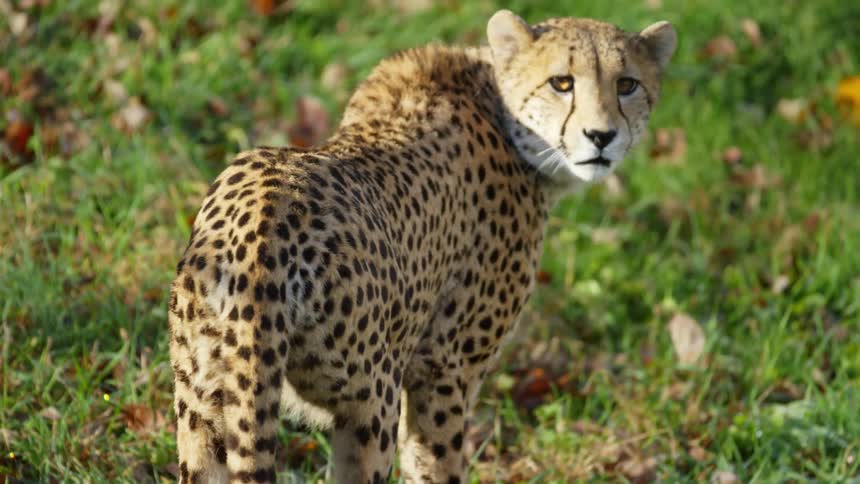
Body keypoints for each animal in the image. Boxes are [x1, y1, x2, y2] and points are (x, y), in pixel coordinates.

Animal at [168, 9, 676, 484]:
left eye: (627, 84)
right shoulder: (446, 368)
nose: (601, 136)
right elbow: (437, 464)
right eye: (562, 82)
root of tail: (262, 215)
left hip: (202, 404)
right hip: (369, 402)